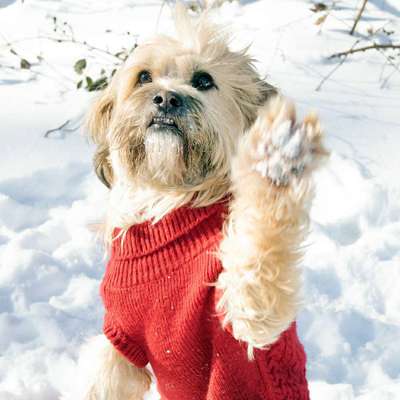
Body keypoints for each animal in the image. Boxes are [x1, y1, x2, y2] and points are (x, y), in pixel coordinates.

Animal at [83, 7, 328, 400]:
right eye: (144, 76)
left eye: (203, 80)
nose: (167, 99)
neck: (169, 204)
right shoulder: (121, 340)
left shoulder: (246, 314)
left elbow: (257, 262)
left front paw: (274, 160)